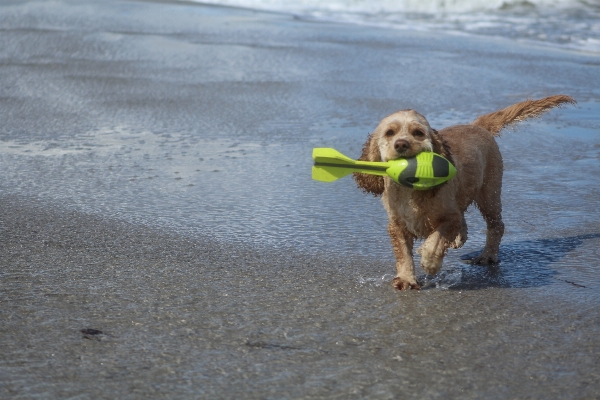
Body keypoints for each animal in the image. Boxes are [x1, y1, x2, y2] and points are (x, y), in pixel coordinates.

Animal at [354, 97, 576, 290]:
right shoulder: (397, 224)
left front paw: (430, 261)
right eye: (389, 132)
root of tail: (477, 125)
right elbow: (403, 254)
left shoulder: (449, 217)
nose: (401, 144)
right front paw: (406, 279)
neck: (411, 189)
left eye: (418, 133)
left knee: (496, 226)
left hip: (489, 194)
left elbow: (436, 240)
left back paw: (487, 256)